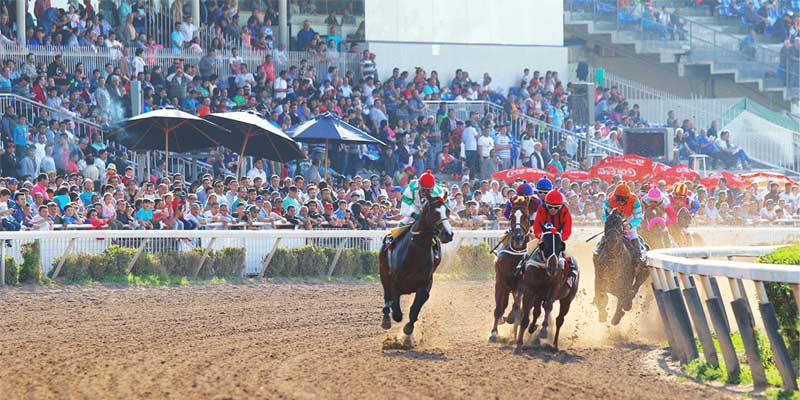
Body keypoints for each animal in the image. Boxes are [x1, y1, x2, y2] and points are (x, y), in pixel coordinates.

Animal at [379, 194, 454, 344]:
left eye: (448, 211)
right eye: (435, 212)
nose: (448, 234)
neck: (414, 253)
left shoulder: (425, 283)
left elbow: (416, 307)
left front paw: (408, 331)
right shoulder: (395, 281)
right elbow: (396, 310)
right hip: (383, 272)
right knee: (386, 295)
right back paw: (386, 320)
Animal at [489, 197, 531, 342]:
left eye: (526, 216)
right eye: (512, 216)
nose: (518, 237)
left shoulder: (523, 284)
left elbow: (517, 305)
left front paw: (512, 317)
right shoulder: (500, 281)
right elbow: (498, 308)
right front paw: (494, 332)